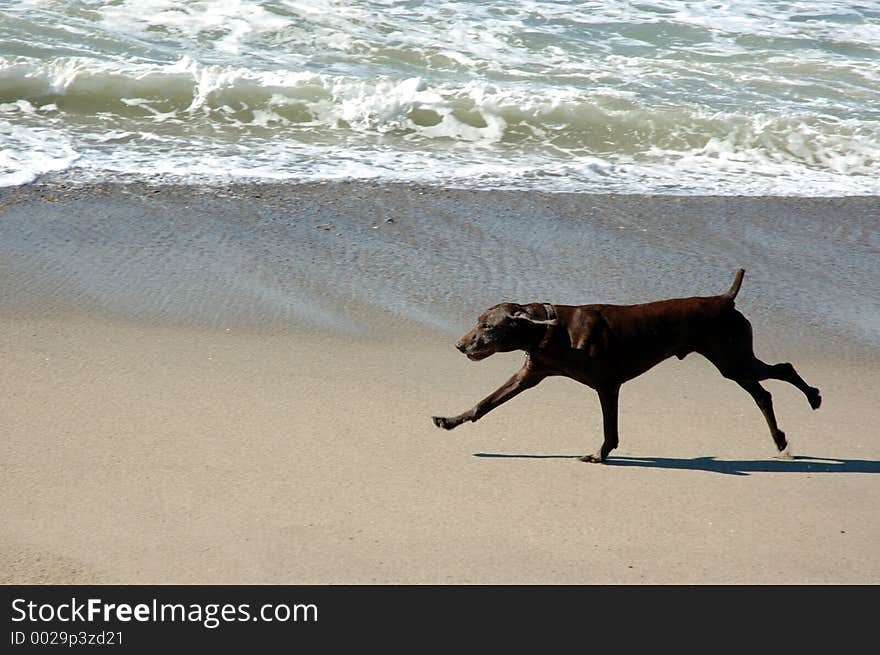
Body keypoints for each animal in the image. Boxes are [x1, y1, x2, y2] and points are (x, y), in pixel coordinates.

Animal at [430, 270, 820, 464]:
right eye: (478, 322)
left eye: (488, 327)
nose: (459, 345)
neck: (552, 330)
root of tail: (724, 299)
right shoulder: (529, 374)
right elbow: (485, 403)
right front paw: (450, 420)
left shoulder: (607, 384)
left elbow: (610, 430)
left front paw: (598, 454)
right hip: (732, 360)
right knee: (765, 391)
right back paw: (781, 437)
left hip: (732, 358)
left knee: (780, 372)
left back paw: (813, 398)